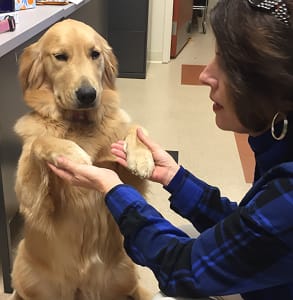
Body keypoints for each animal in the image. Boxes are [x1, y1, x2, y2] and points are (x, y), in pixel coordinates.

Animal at [10, 19, 154, 300]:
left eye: (94, 54)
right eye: (60, 57)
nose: (88, 94)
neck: (78, 124)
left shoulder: (130, 184)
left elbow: (134, 128)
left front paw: (142, 156)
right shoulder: (32, 198)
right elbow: (41, 142)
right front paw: (71, 152)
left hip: (126, 270)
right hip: (24, 269)